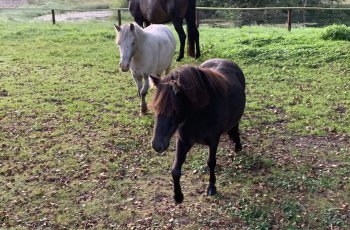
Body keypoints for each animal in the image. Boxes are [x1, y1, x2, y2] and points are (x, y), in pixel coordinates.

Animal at [150, 58, 246, 203]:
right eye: (156, 109)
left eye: (174, 111)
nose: (157, 145)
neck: (199, 114)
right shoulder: (183, 141)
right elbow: (175, 169)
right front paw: (178, 196)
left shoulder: (213, 141)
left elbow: (211, 162)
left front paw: (212, 186)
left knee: (235, 128)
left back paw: (238, 145)